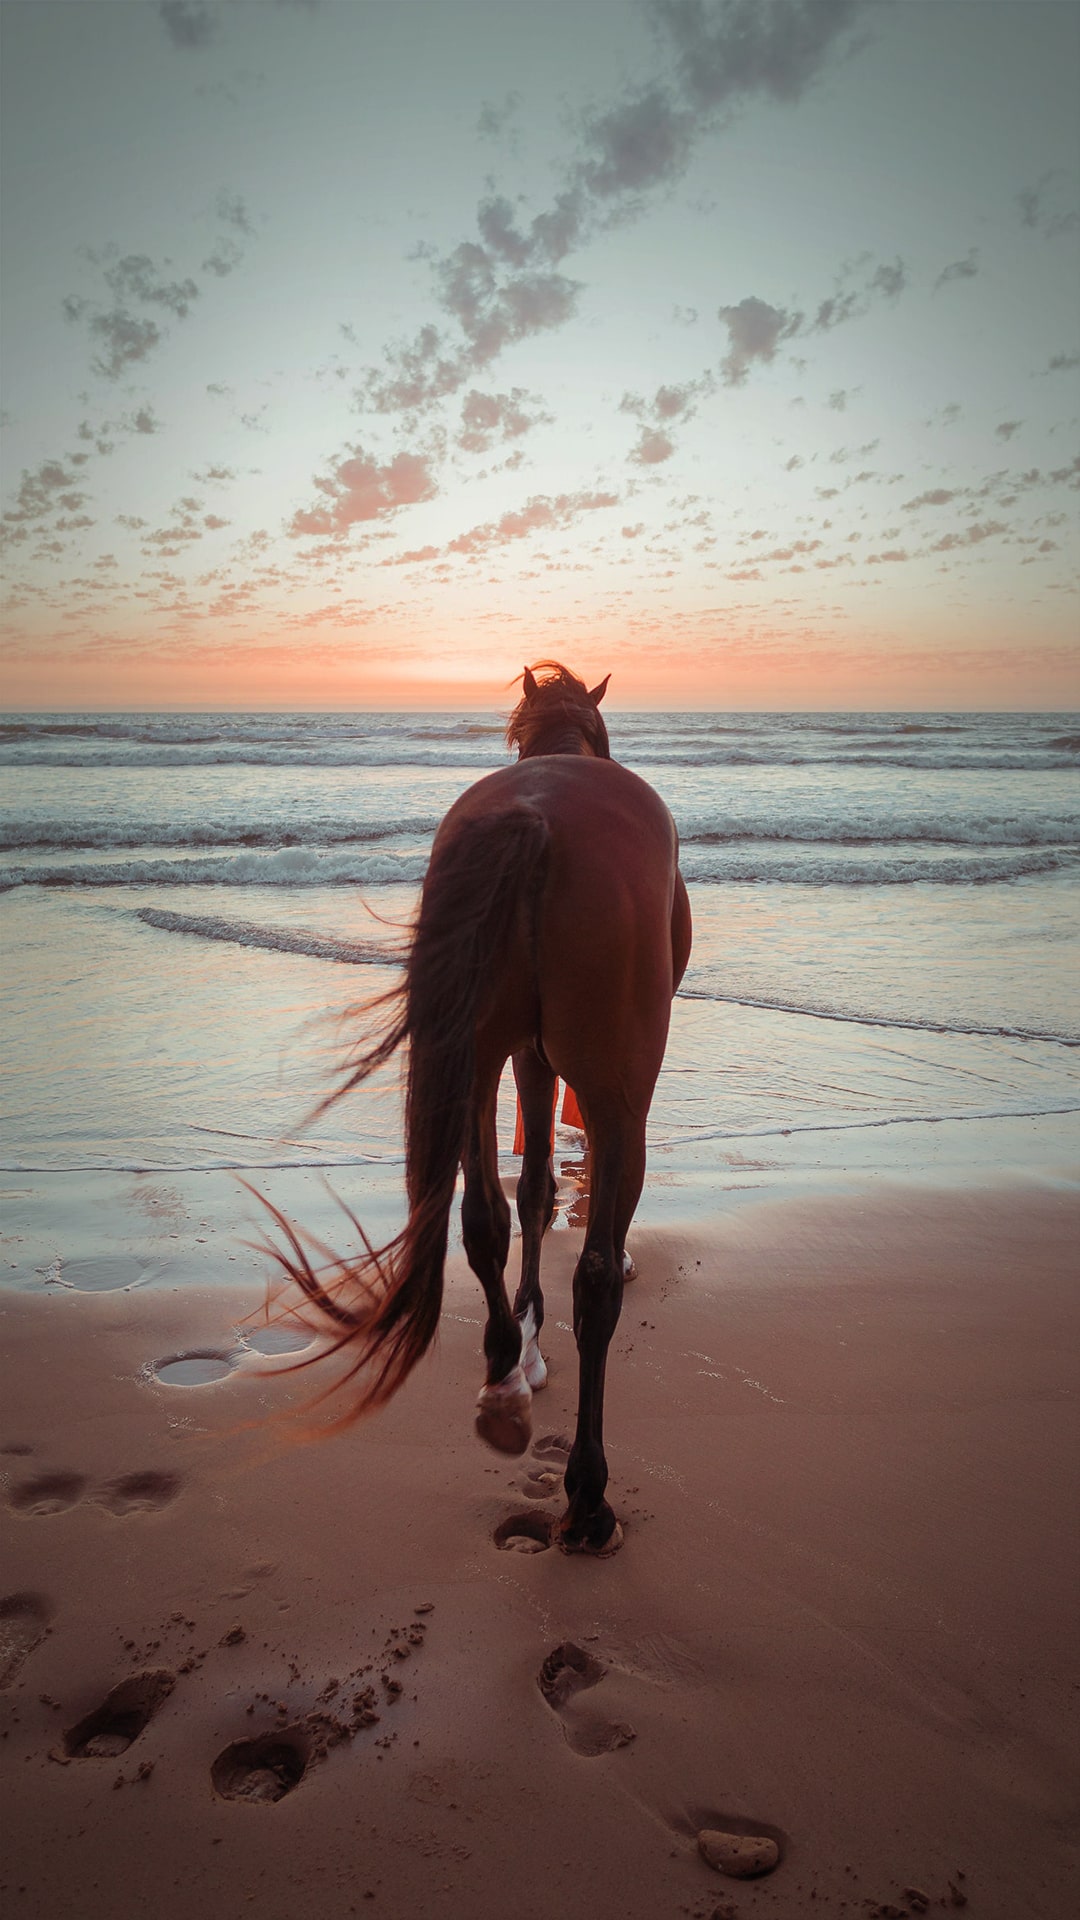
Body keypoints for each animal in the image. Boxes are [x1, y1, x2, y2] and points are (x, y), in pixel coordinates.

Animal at [266, 662, 691, 1555]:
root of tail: (535, 817)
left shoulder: (525, 1054)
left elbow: (528, 1193)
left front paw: (526, 1335)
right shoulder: (585, 1073)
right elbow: (569, 1200)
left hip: (472, 1053)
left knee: (482, 1220)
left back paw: (504, 1378)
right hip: (615, 1084)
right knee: (594, 1277)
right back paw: (588, 1498)